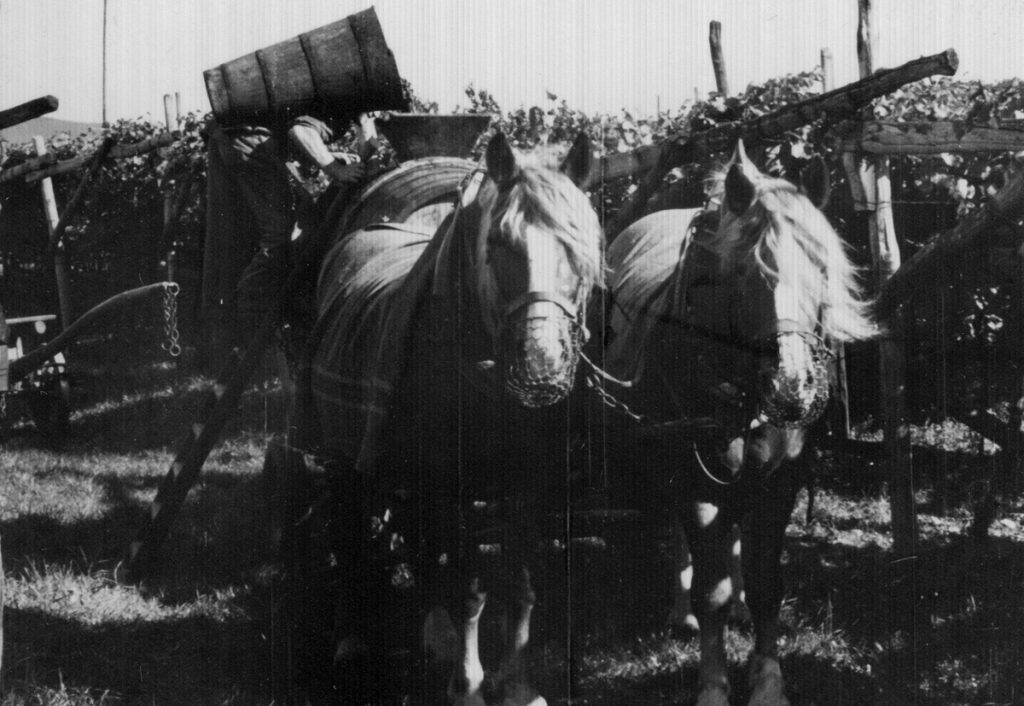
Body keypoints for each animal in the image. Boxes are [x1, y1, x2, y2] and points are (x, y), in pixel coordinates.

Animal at [307, 130, 602, 700]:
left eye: (583, 249)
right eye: (499, 245)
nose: (541, 367)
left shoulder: (528, 484)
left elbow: (520, 583)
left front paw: (520, 687)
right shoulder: (451, 488)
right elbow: (468, 589)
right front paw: (466, 688)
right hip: (344, 460)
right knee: (348, 533)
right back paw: (352, 642)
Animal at [598, 143, 880, 704]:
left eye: (822, 268)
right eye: (750, 273)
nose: (792, 387)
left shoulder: (779, 484)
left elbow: (768, 582)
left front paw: (768, 680)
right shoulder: (692, 483)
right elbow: (710, 591)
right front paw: (712, 684)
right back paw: (682, 610)